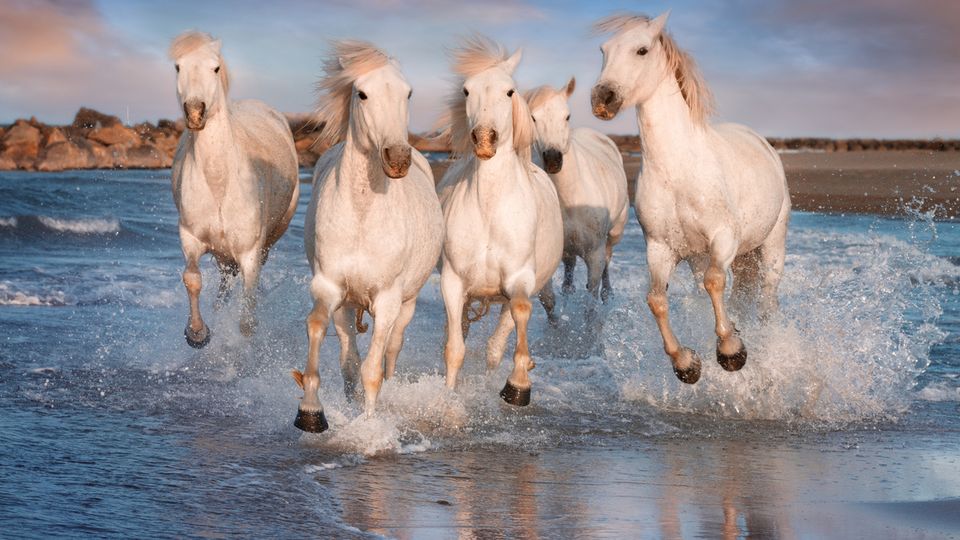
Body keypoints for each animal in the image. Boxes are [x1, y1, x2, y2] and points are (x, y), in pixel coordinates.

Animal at [169, 32, 299, 348]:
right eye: (178, 67)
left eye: (215, 68)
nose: (195, 112)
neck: (220, 182)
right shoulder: (190, 238)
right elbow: (192, 278)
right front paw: (197, 333)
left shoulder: (250, 252)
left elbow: (247, 317)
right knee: (224, 286)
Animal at [290, 41, 444, 433]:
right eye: (362, 93)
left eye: (408, 93)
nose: (398, 159)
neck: (362, 217)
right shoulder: (330, 287)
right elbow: (321, 334)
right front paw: (311, 412)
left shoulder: (388, 300)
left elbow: (373, 371)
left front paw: (370, 427)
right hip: (348, 307)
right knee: (350, 355)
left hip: (406, 304)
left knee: (390, 351)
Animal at [436, 36, 564, 406]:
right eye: (466, 90)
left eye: (509, 92)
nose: (484, 139)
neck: (489, 211)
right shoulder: (453, 282)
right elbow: (455, 348)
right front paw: (448, 397)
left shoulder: (520, 279)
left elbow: (516, 317)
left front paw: (518, 386)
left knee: (500, 338)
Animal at [525, 77, 629, 303]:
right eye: (533, 118)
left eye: (567, 116)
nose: (553, 159)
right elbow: (549, 298)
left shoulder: (595, 255)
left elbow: (591, 299)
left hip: (614, 233)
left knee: (608, 259)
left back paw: (608, 293)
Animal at [590, 12, 790, 384]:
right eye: (603, 50)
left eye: (642, 50)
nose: (603, 99)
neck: (678, 169)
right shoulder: (660, 248)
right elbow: (656, 300)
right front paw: (687, 364)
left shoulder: (724, 238)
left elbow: (716, 282)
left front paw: (731, 352)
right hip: (705, 257)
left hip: (772, 246)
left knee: (767, 301)